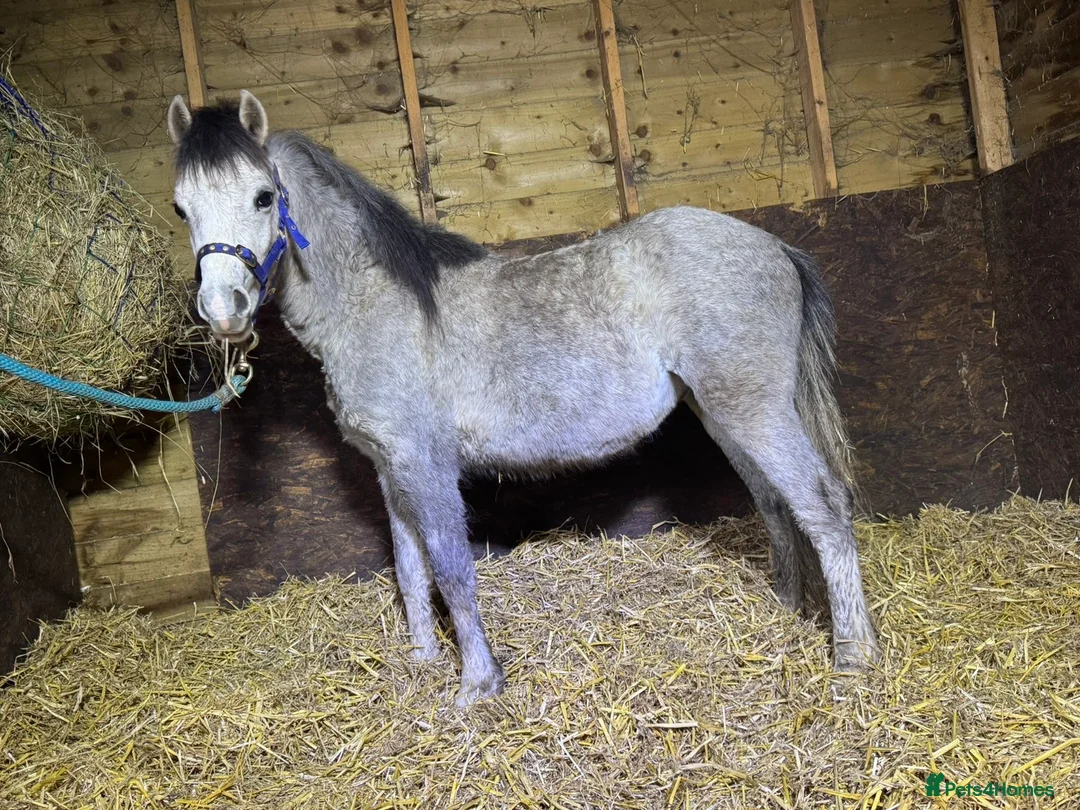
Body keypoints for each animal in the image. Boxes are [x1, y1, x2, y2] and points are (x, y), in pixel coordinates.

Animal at [167, 90, 880, 705]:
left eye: (264, 197)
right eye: (181, 207)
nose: (224, 310)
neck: (376, 302)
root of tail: (775, 246)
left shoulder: (426, 467)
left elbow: (451, 568)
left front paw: (477, 687)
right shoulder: (391, 470)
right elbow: (409, 567)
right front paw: (423, 662)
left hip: (753, 409)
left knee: (822, 504)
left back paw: (852, 654)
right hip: (725, 413)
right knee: (776, 502)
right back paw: (784, 612)